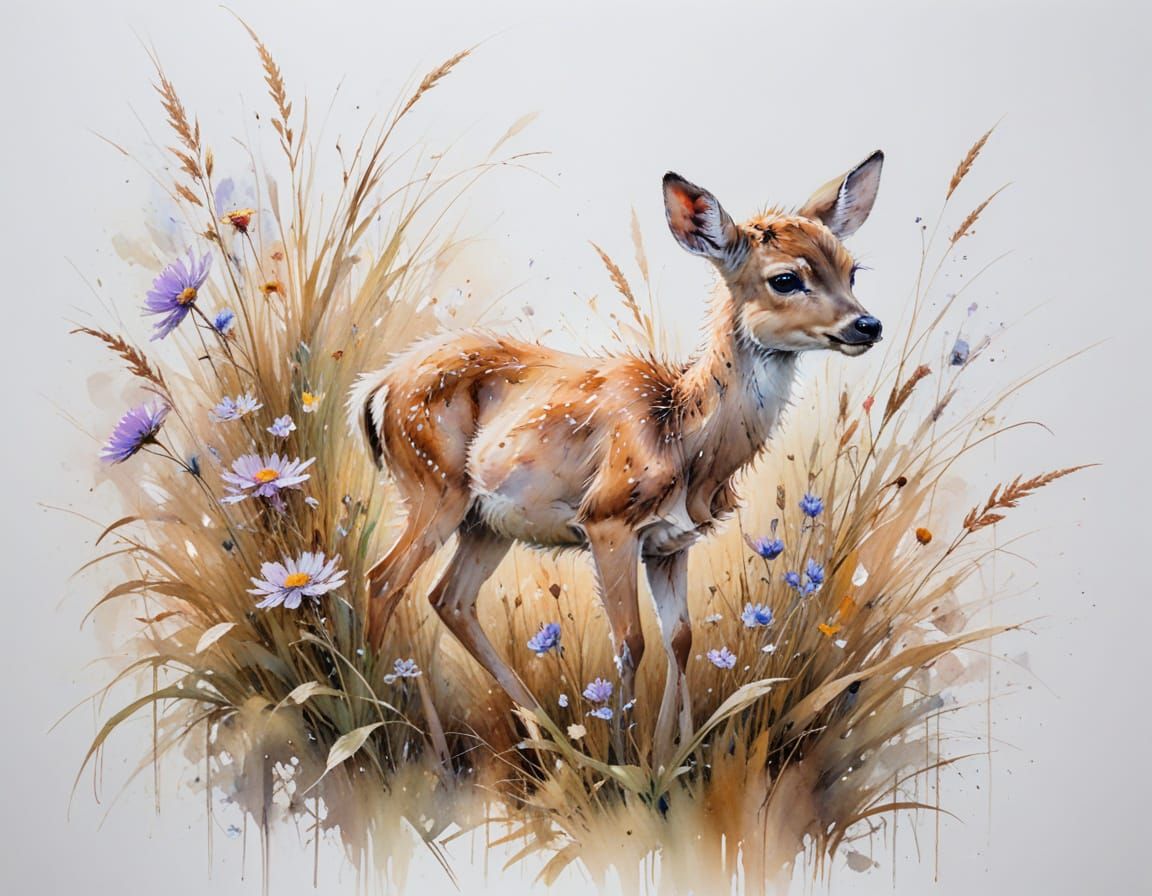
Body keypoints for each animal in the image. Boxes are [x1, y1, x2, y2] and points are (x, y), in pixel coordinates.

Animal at [350, 151, 885, 758]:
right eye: (786, 278)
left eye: (852, 270)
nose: (867, 324)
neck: (683, 434)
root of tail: (378, 386)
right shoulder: (606, 519)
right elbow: (631, 642)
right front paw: (628, 759)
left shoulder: (671, 543)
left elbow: (680, 639)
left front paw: (673, 756)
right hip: (432, 485)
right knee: (384, 580)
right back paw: (392, 735)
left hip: (487, 522)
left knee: (449, 598)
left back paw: (544, 736)